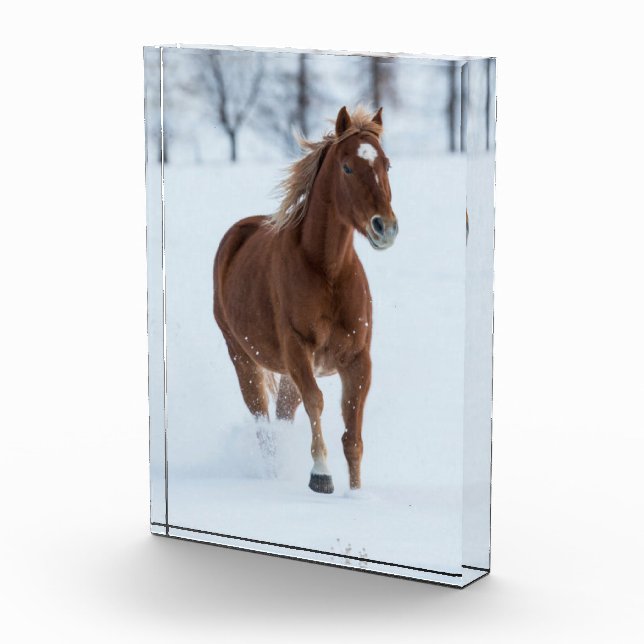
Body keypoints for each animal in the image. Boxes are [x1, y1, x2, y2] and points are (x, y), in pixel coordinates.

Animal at [213, 105, 398, 494]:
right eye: (347, 167)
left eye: (386, 164)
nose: (384, 228)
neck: (327, 270)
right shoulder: (298, 349)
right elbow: (317, 403)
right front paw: (321, 475)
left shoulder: (357, 359)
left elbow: (352, 434)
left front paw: (356, 493)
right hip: (243, 357)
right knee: (262, 420)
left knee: (282, 414)